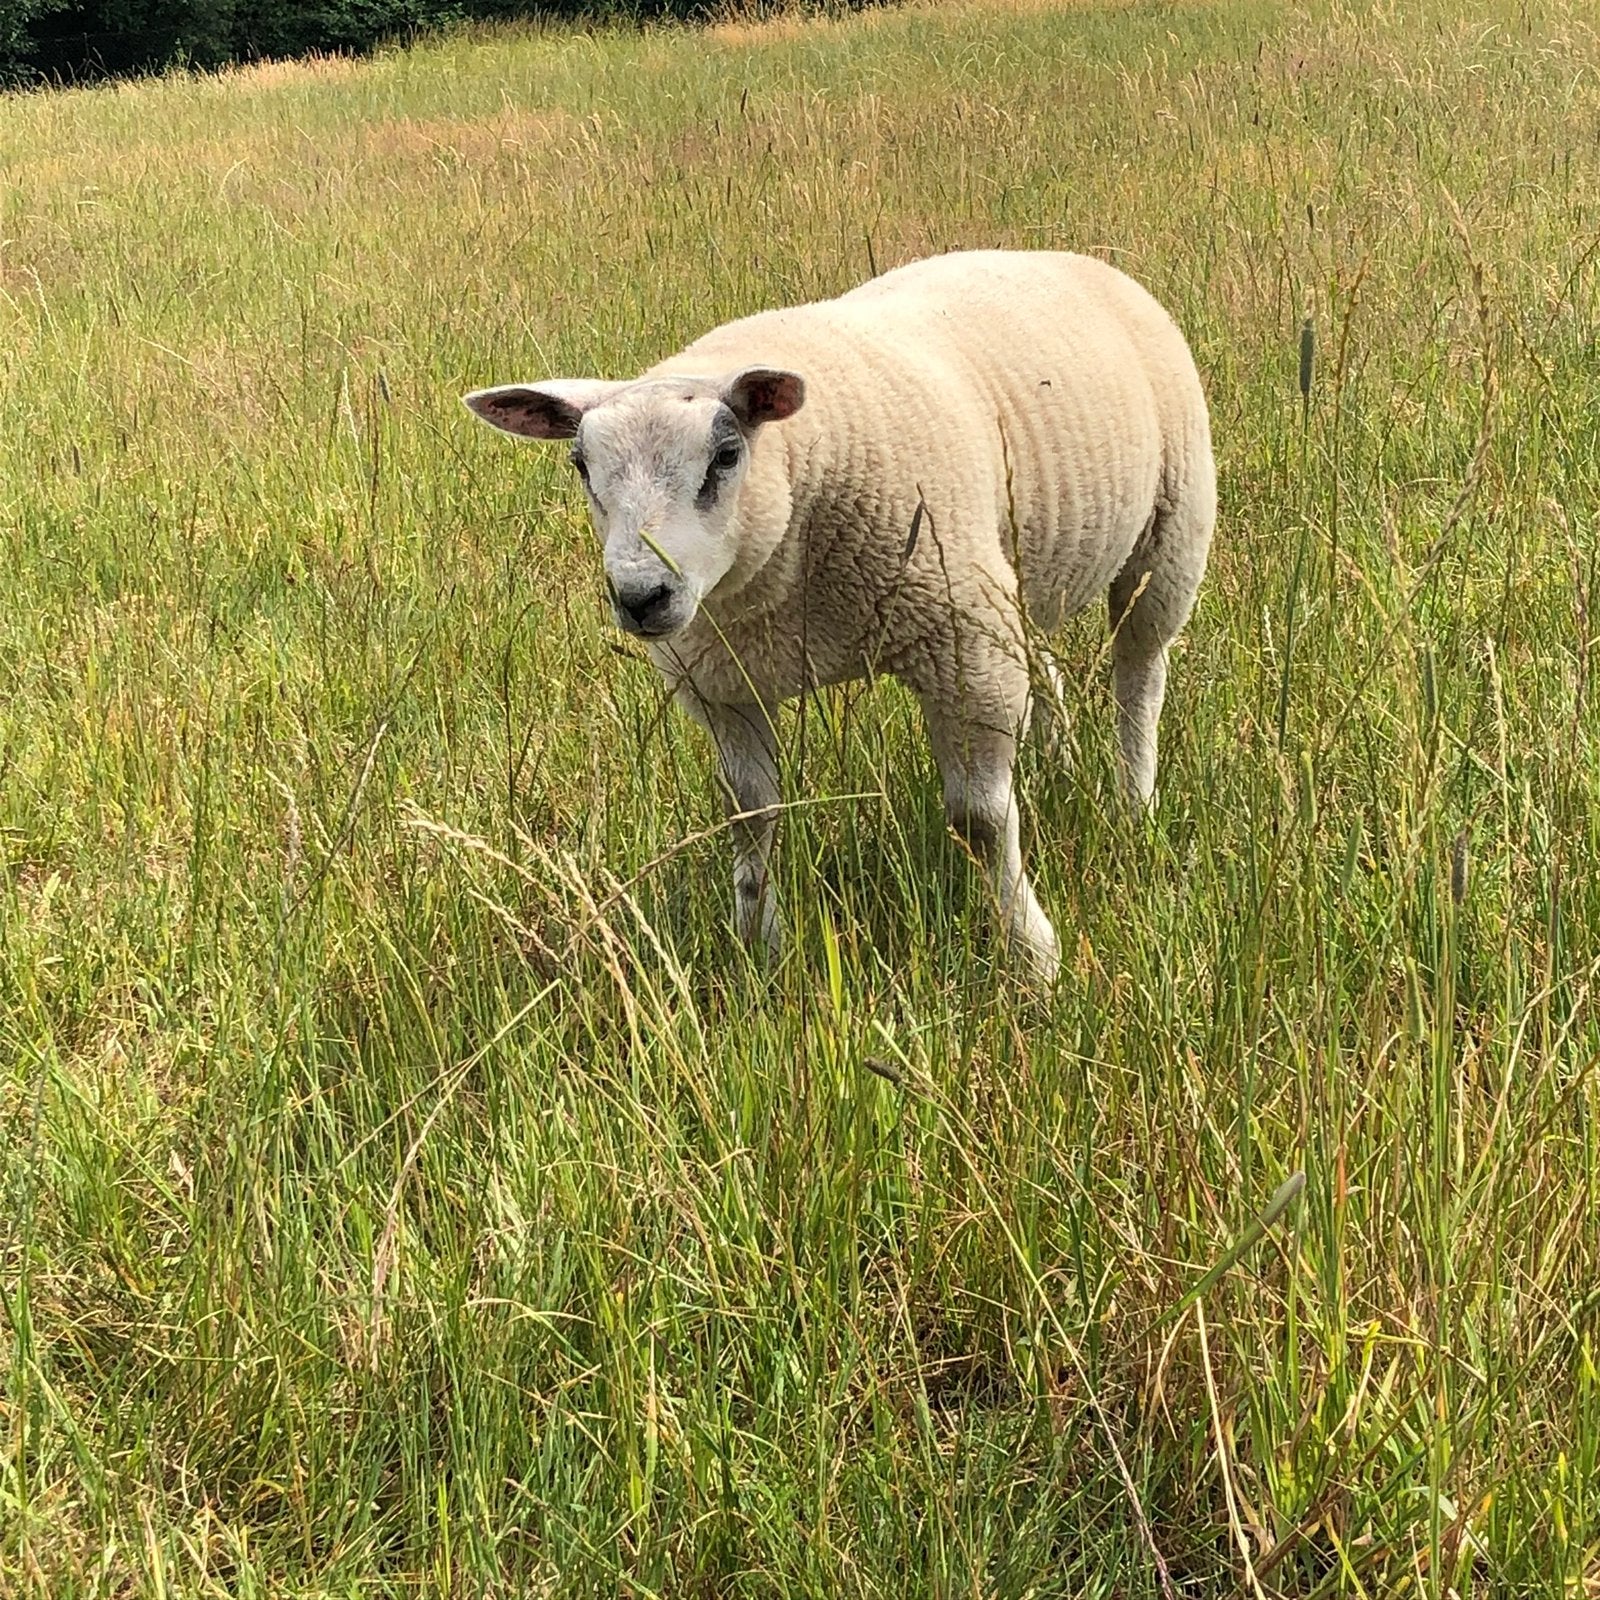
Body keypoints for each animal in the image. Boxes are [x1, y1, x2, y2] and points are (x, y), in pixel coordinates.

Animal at [464, 250, 1215, 980]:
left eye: (726, 456)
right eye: (580, 465)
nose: (641, 597)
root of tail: (1067, 254)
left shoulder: (960, 642)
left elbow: (977, 819)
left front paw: (1033, 959)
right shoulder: (726, 683)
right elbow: (750, 815)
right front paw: (758, 952)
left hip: (1170, 533)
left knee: (1139, 677)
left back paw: (1133, 805)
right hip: (1006, 573)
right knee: (1047, 664)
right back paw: (1060, 764)